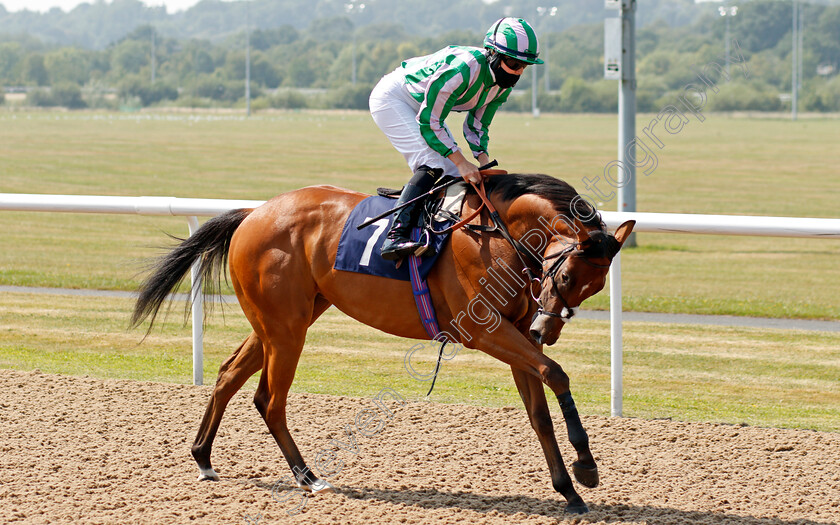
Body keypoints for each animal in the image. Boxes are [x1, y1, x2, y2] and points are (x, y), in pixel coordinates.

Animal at [130, 174, 632, 512]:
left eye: (595, 288)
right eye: (566, 277)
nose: (546, 331)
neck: (495, 235)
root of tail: (253, 213)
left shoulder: (514, 334)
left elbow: (538, 412)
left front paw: (568, 490)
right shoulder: (487, 331)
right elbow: (556, 374)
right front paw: (586, 466)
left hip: (280, 321)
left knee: (229, 375)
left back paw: (203, 458)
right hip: (286, 329)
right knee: (269, 400)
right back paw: (310, 478)